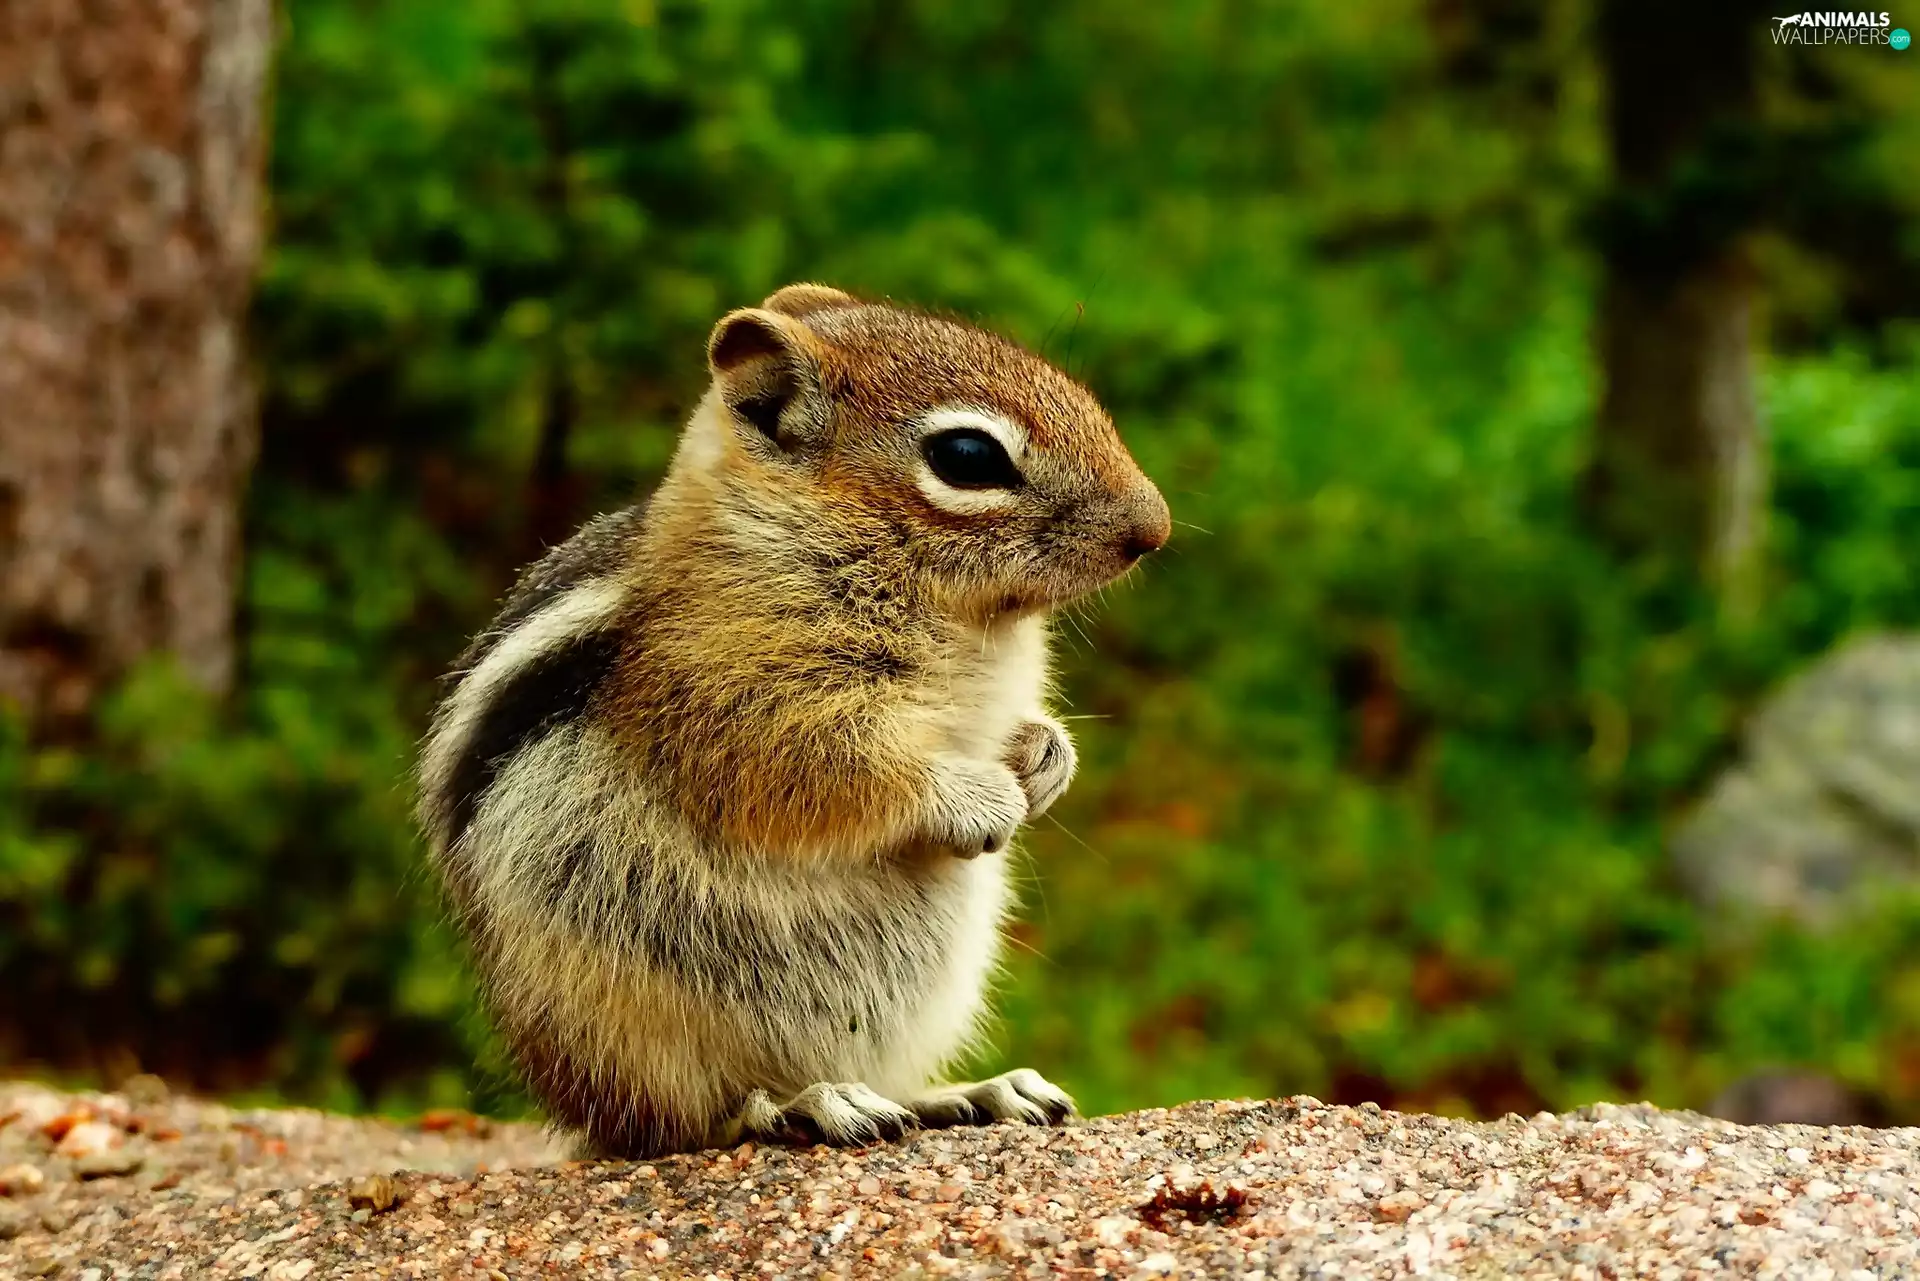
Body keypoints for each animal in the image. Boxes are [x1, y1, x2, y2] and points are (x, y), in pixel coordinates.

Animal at [416, 283, 1170, 1158]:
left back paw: (970, 1093)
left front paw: (1046, 758)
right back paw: (795, 1106)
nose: (1154, 528)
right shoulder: (729, 700)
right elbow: (821, 770)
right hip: (627, 1013)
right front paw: (976, 797)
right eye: (968, 457)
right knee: (684, 1122)